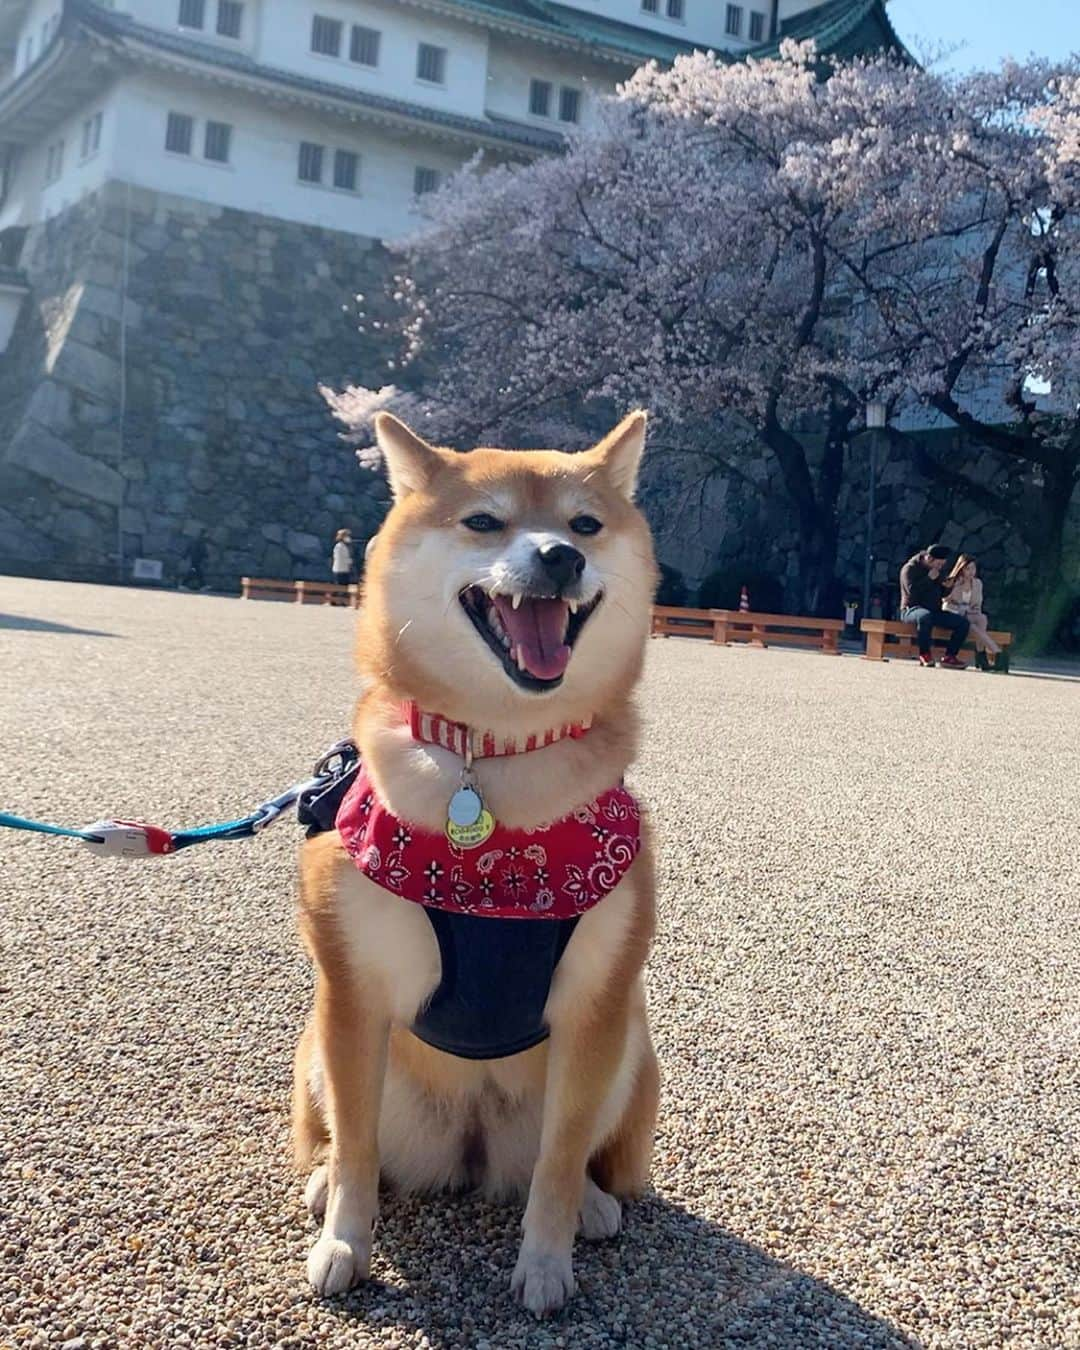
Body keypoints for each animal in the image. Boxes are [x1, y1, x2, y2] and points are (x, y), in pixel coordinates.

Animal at [295, 407, 661, 1306]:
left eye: (585, 526)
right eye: (486, 522)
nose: (560, 557)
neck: (492, 761)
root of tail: (469, 1150)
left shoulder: (597, 1001)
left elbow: (559, 1163)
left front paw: (546, 1261)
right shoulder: (352, 991)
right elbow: (356, 1146)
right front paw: (346, 1242)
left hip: (631, 1051)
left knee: (564, 1158)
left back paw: (594, 1205)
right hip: (320, 1049)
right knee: (344, 1138)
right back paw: (321, 1184)